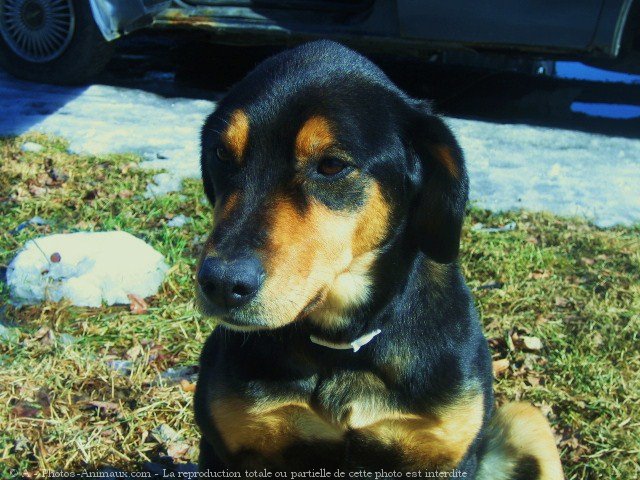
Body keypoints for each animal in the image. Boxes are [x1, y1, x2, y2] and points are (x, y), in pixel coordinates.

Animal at [194, 40, 560, 480]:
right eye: (220, 153)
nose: (221, 283)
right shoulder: (231, 446)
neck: (343, 347)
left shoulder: (443, 451)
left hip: (526, 420)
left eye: (332, 164)